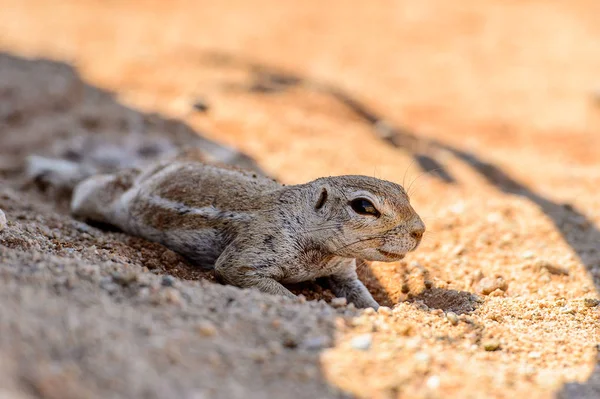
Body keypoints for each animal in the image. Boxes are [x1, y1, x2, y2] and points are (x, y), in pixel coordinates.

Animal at [29, 152, 422, 308]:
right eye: (364, 206)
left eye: (402, 191)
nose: (420, 231)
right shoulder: (255, 248)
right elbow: (241, 272)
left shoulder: (343, 271)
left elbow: (360, 294)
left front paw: (379, 310)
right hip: (106, 198)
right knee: (89, 186)